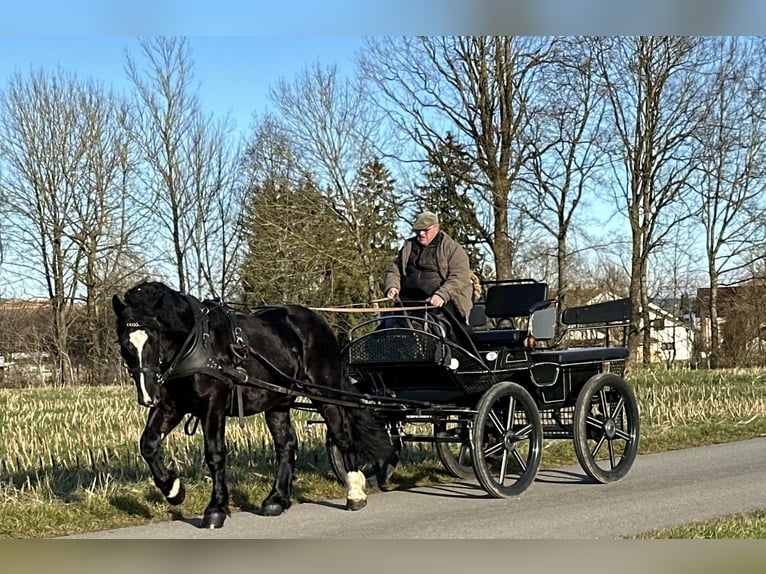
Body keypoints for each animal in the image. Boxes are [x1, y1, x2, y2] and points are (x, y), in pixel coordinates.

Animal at [112, 282, 396, 528]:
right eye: (124, 344)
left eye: (154, 337)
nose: (147, 395)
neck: (195, 343)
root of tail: (315, 320)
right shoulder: (171, 406)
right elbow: (148, 444)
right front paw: (173, 490)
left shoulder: (213, 405)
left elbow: (214, 454)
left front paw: (216, 509)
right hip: (278, 402)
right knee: (286, 445)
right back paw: (276, 500)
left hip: (324, 391)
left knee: (341, 435)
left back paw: (355, 491)